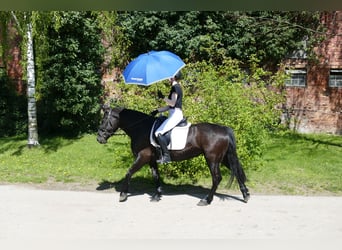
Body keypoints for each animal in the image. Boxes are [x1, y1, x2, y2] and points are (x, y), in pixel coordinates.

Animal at [96, 105, 248, 205]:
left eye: (103, 120)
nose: (99, 139)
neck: (141, 128)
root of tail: (223, 129)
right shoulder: (152, 160)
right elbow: (156, 176)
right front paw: (157, 195)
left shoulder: (143, 156)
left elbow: (129, 172)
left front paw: (122, 195)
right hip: (223, 158)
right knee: (236, 172)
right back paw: (245, 195)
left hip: (212, 159)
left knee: (217, 178)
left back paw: (206, 200)